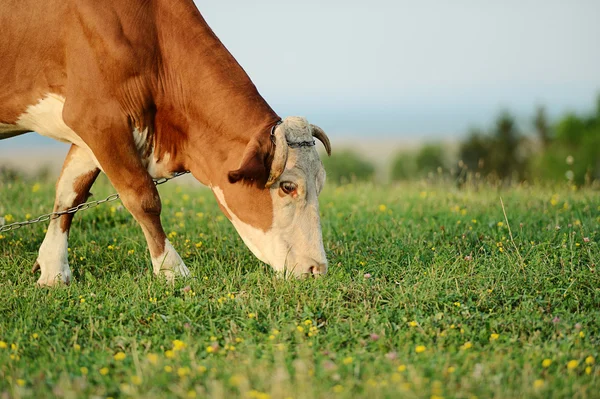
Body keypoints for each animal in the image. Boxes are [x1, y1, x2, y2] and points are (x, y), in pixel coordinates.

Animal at [0, 0, 332, 288]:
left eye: (321, 184)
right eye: (288, 186)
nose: (317, 269)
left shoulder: (90, 128)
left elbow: (70, 195)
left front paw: (53, 271)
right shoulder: (96, 116)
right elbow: (143, 197)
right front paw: (171, 269)